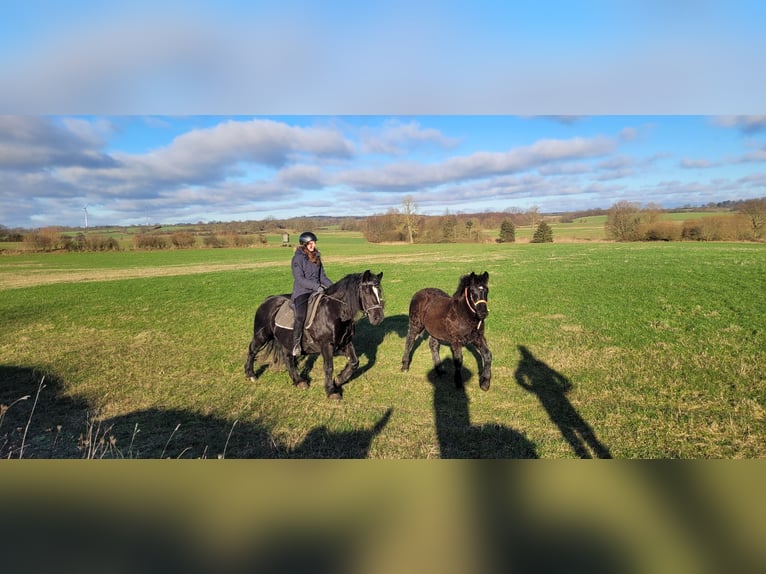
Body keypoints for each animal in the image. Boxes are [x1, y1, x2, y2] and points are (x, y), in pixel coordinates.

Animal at [246, 272, 388, 400]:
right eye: (367, 291)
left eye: (379, 291)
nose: (378, 317)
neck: (335, 312)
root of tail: (268, 300)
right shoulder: (326, 345)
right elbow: (329, 367)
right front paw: (331, 391)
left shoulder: (345, 343)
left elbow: (354, 362)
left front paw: (339, 379)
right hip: (262, 335)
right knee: (252, 350)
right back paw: (250, 374)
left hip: (286, 341)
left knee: (288, 358)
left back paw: (299, 381)